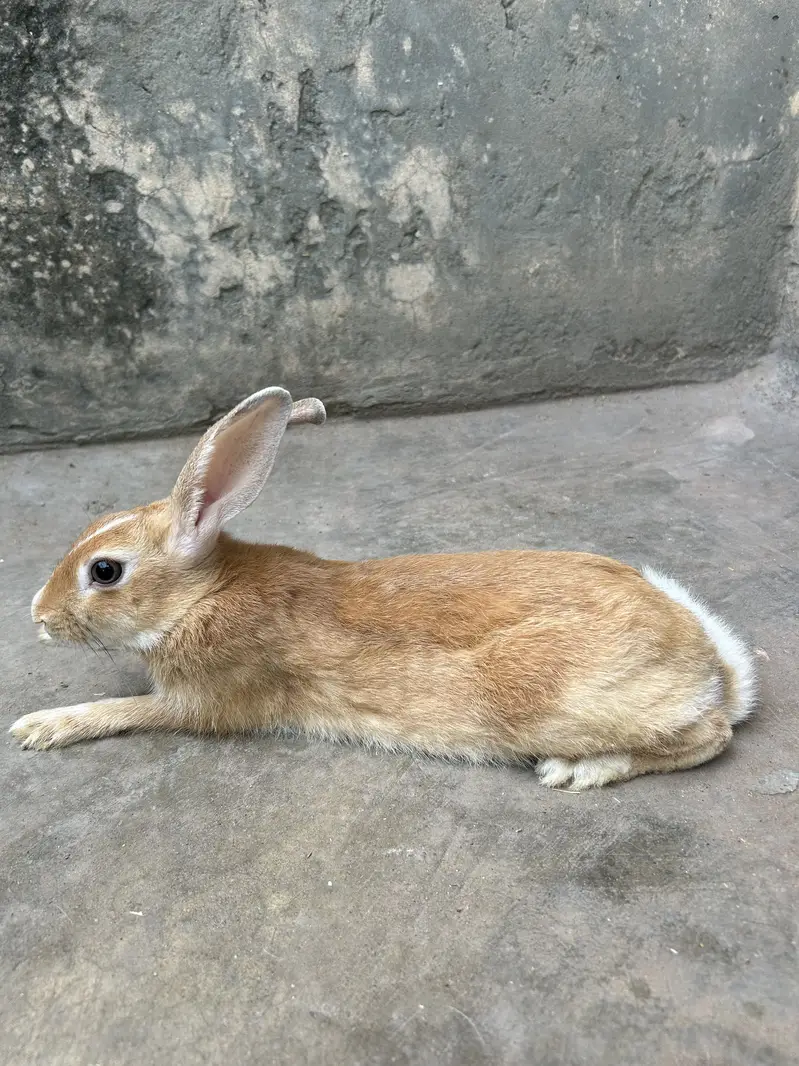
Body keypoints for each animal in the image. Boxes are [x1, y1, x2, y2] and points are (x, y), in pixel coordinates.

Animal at [11, 386, 757, 789]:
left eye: (104, 571)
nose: (37, 615)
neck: (203, 594)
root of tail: (711, 664)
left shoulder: (206, 701)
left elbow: (125, 709)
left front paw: (38, 728)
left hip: (555, 699)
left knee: (711, 736)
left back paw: (582, 770)